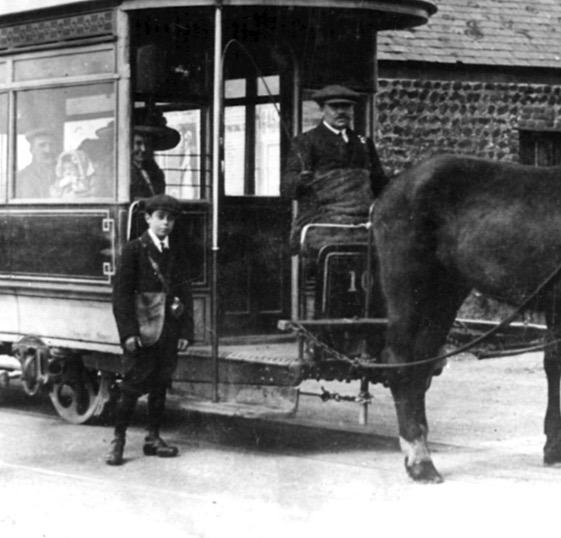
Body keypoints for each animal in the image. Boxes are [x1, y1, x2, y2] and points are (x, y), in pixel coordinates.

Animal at [374, 154, 561, 482]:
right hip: (409, 289)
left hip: (445, 294)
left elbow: (554, 365)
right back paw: (420, 460)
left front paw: (553, 449)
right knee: (401, 362)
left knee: (422, 362)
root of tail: (391, 188)